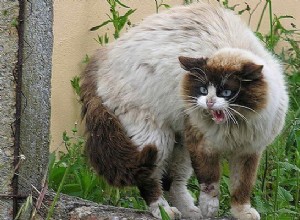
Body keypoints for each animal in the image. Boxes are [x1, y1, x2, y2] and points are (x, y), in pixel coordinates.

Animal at [79, 0, 288, 219]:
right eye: (203, 89)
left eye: (226, 92)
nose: (209, 102)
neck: (233, 125)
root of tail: (104, 54)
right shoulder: (203, 145)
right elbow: (210, 183)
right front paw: (210, 209)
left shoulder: (248, 152)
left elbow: (242, 188)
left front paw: (242, 213)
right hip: (157, 138)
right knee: (150, 179)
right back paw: (165, 211)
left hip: (180, 145)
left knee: (173, 182)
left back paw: (189, 211)